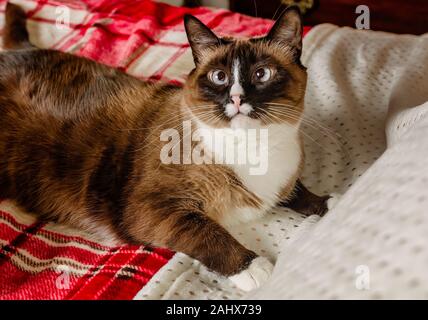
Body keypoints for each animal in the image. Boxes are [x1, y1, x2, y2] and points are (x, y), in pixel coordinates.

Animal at [0, 2, 330, 292]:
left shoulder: (285, 180)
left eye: (262, 74)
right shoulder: (153, 208)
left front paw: (327, 205)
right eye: (219, 77)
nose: (236, 99)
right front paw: (255, 268)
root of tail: (20, 51)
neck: (255, 148)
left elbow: (298, 192)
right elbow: (207, 232)